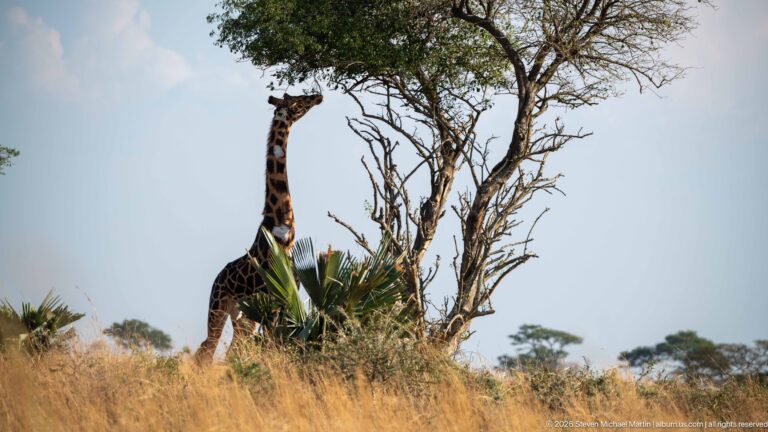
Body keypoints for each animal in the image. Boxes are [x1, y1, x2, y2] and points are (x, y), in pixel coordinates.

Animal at [195, 93, 323, 365]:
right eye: (300, 101)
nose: (318, 96)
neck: (282, 231)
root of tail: (216, 279)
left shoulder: (288, 294)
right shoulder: (271, 297)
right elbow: (273, 344)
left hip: (242, 317)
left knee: (226, 349)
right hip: (219, 306)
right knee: (207, 349)